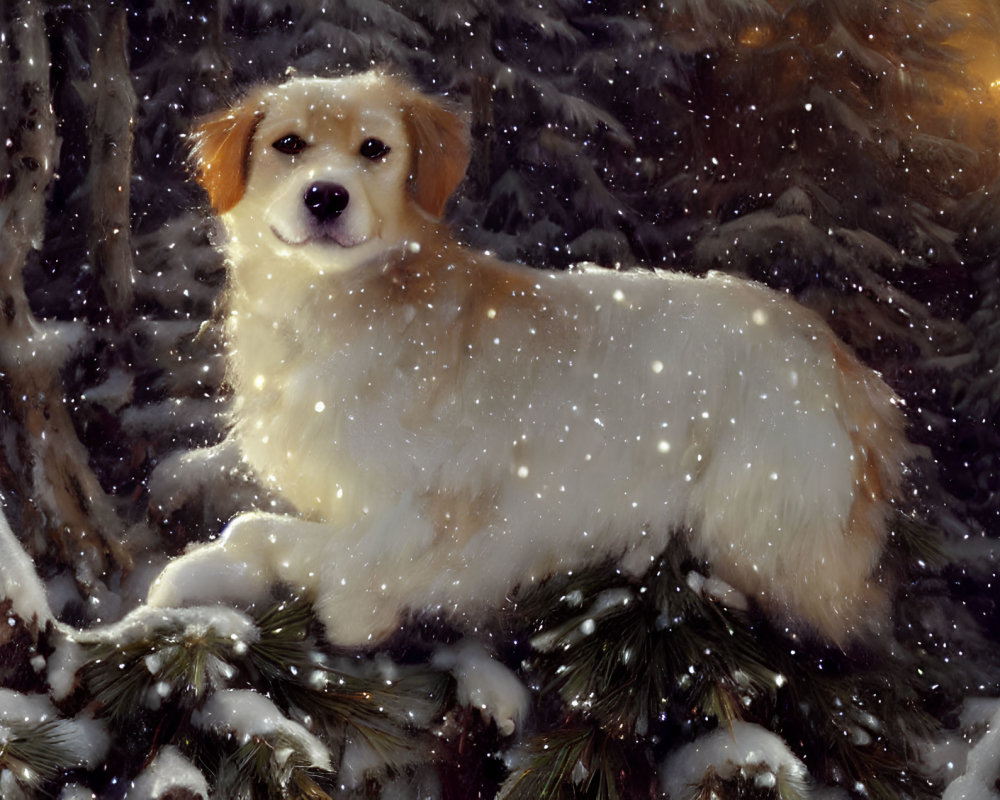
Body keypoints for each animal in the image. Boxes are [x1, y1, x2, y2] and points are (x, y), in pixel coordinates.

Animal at [148, 70, 916, 656]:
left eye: (373, 149)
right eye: (288, 144)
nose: (327, 196)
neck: (338, 307)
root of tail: (845, 364)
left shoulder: (412, 521)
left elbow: (268, 536)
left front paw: (325, 612)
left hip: (758, 514)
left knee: (836, 614)